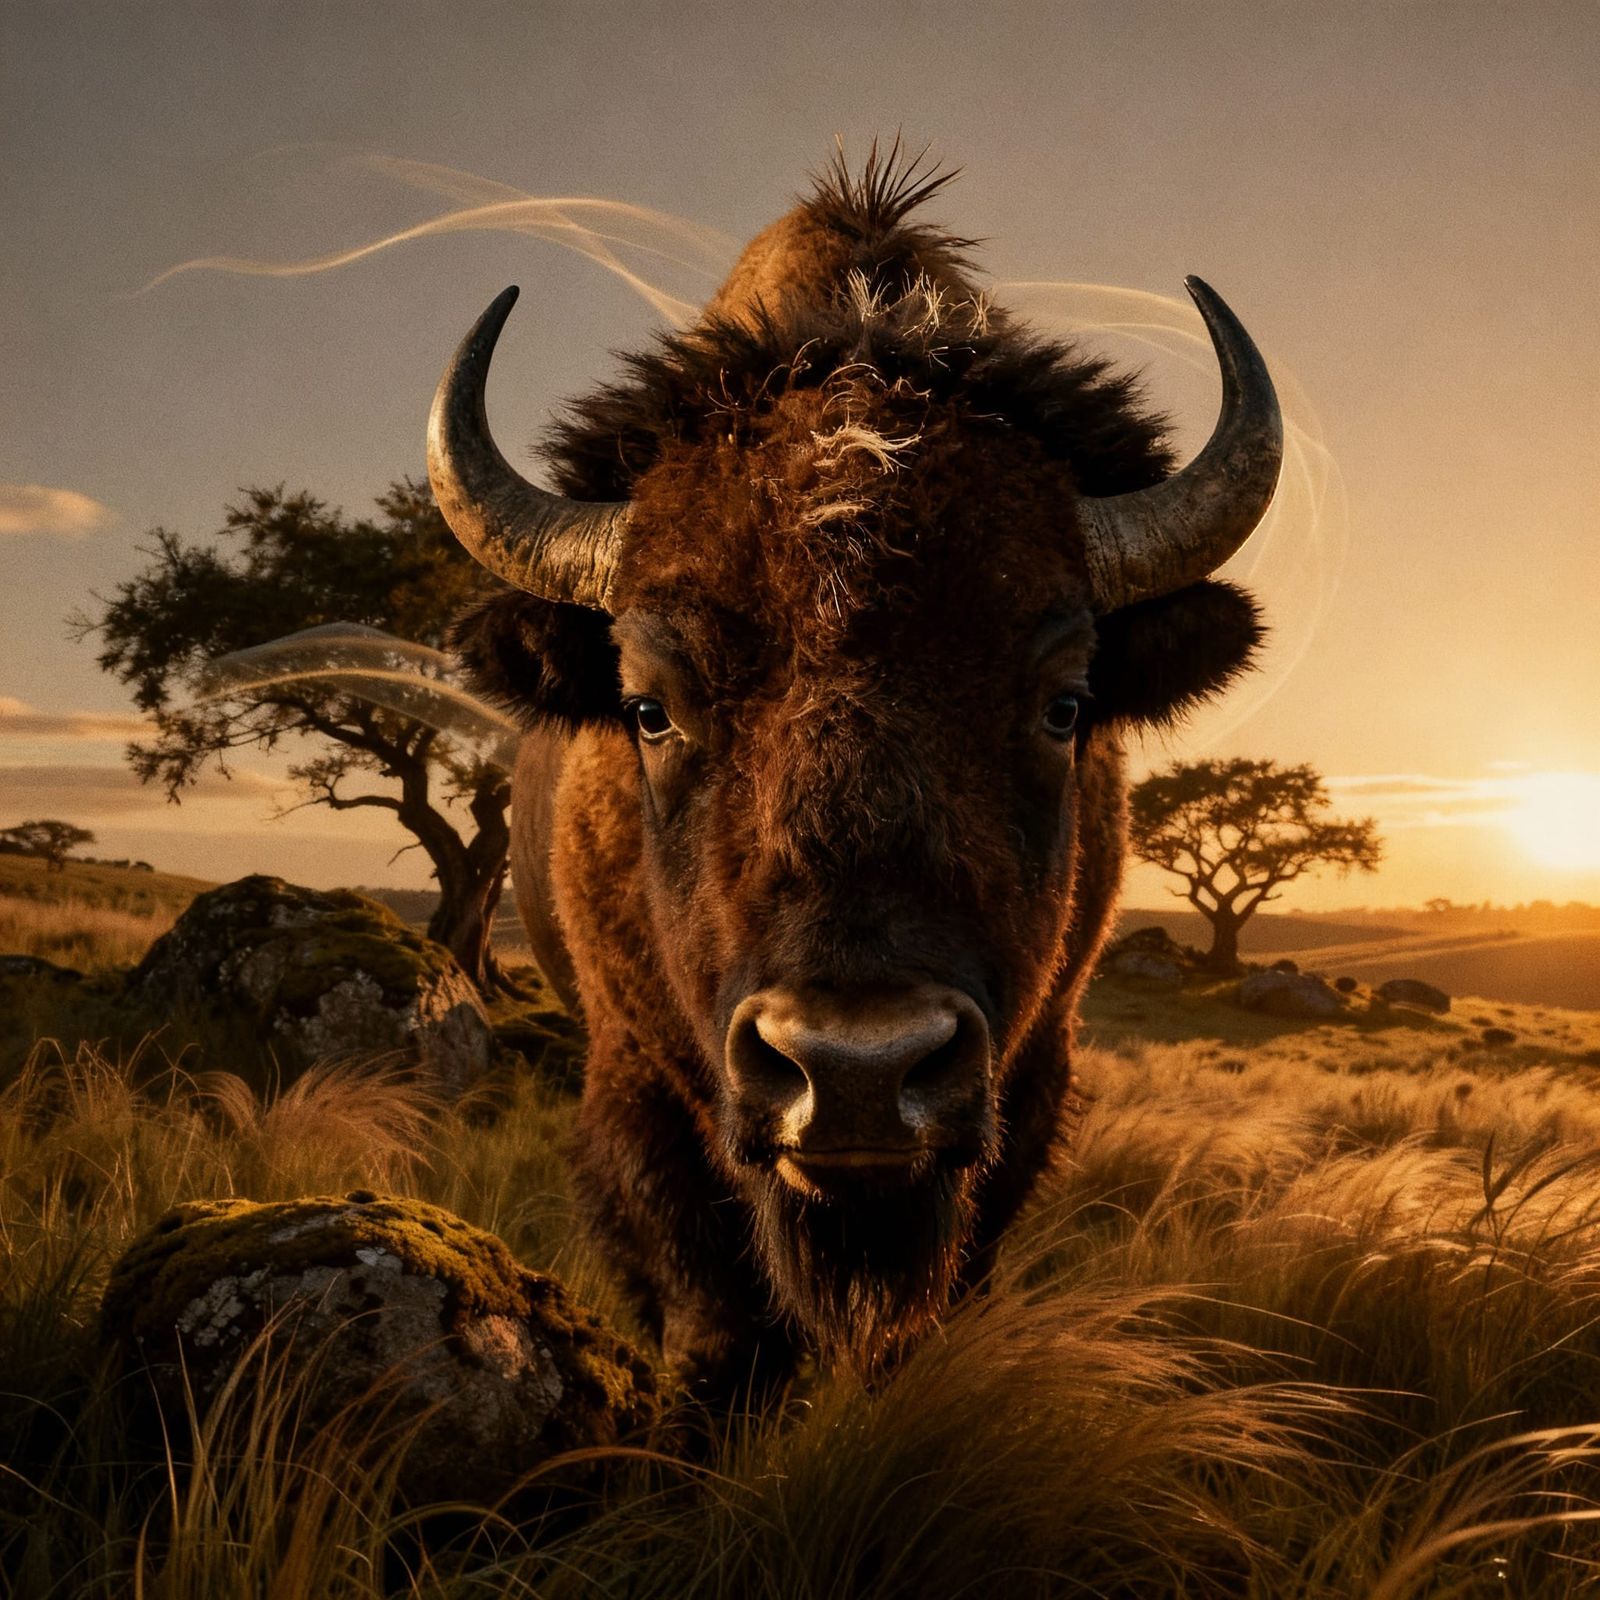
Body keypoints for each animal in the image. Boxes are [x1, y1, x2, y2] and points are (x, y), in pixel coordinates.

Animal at [435, 151, 1281, 1393]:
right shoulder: (637, 1086)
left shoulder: (1026, 1088)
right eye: (647, 707)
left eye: (1064, 703)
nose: (855, 1071)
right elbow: (715, 1313)